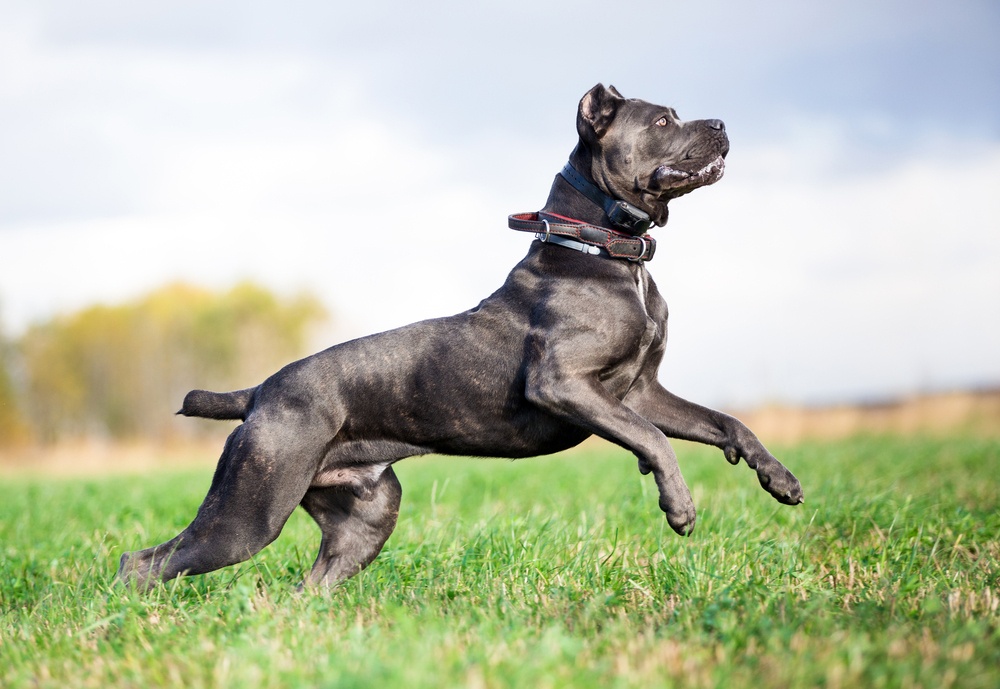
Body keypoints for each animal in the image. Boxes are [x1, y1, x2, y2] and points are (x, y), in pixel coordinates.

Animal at [117, 86, 804, 588]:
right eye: (663, 119)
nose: (721, 123)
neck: (608, 251)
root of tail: (259, 393)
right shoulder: (567, 386)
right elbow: (655, 440)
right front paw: (679, 507)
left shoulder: (641, 390)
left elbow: (724, 423)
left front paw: (780, 480)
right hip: (248, 512)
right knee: (144, 562)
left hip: (365, 517)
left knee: (306, 586)